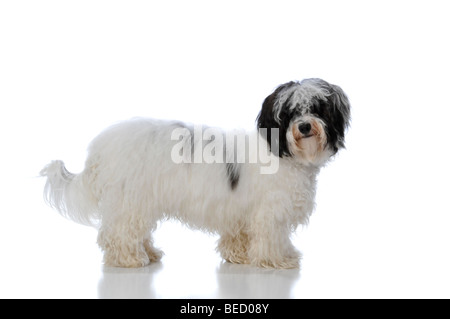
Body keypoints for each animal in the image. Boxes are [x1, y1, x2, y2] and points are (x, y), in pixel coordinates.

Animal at [41, 78, 352, 270]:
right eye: (289, 112)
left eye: (318, 109)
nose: (305, 126)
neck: (279, 151)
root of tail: (100, 148)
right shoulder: (270, 211)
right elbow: (272, 236)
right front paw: (280, 259)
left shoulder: (239, 211)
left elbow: (239, 236)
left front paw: (239, 256)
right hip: (129, 199)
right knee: (118, 233)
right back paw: (129, 259)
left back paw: (149, 253)